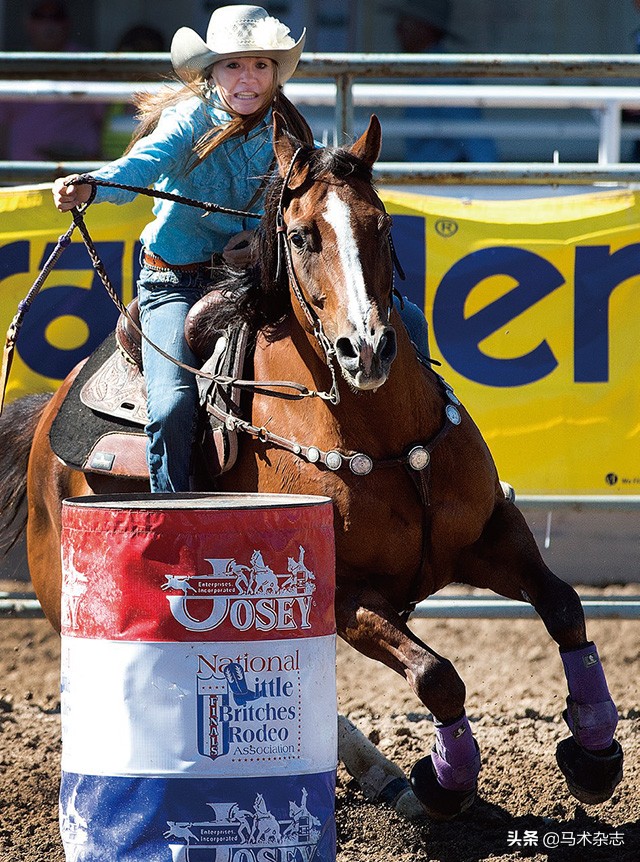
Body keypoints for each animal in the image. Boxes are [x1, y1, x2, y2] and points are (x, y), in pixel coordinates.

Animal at [0, 116, 620, 824]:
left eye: (382, 223)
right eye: (301, 235)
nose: (367, 348)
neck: (388, 440)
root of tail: (48, 415)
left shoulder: (489, 534)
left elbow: (564, 606)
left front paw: (595, 756)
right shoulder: (344, 594)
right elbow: (436, 675)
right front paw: (446, 782)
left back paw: (378, 774)